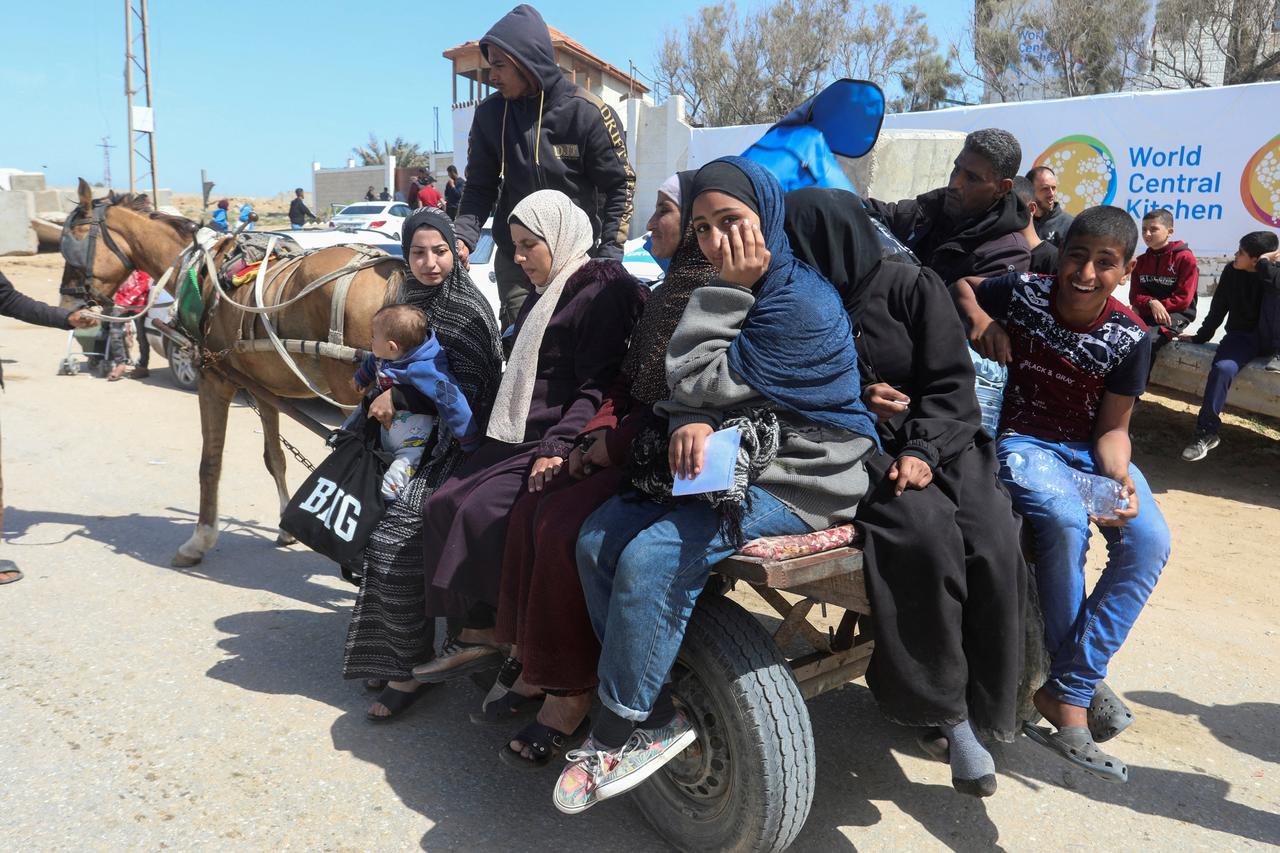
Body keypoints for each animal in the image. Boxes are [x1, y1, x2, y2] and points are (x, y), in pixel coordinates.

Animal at [57, 178, 399, 563]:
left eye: (73, 241)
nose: (69, 304)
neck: (201, 272)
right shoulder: (266, 390)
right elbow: (275, 457)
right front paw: (284, 526)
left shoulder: (213, 378)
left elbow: (210, 462)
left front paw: (199, 540)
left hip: (353, 397)